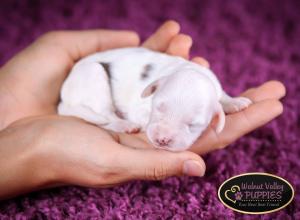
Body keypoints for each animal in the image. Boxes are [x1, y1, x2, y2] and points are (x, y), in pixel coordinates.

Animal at [57, 47, 252, 151]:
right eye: (158, 108)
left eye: (192, 125)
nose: (163, 140)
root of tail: (63, 100)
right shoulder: (139, 107)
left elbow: (222, 95)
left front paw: (235, 102)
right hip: (94, 75)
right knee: (106, 116)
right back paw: (125, 125)